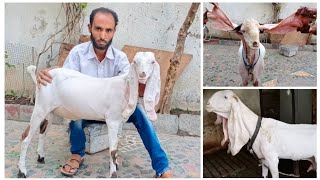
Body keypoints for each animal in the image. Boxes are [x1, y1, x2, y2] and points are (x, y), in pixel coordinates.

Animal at [18, 51, 160, 177]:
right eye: (135, 62)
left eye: (152, 62)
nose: (142, 74)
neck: (125, 86)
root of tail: (42, 78)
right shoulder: (112, 120)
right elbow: (112, 150)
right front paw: (113, 174)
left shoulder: (119, 122)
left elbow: (116, 147)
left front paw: (116, 164)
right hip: (40, 107)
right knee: (25, 137)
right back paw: (22, 171)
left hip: (51, 111)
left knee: (43, 131)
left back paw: (41, 157)